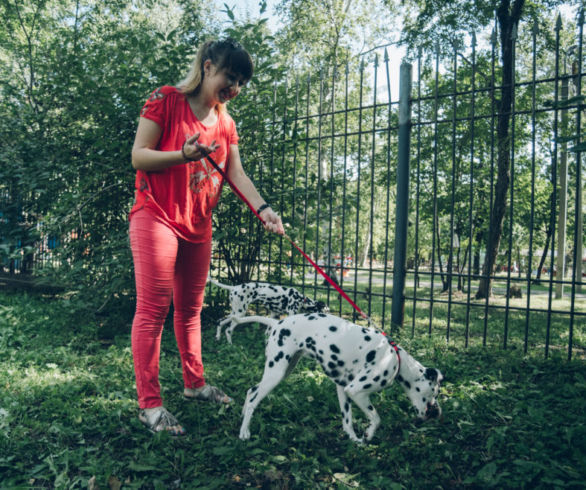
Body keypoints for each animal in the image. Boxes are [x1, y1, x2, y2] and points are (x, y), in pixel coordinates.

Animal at [230, 314, 440, 444]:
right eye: (434, 391)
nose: (437, 413)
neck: (395, 358)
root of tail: (276, 323)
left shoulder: (343, 389)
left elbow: (347, 421)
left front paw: (354, 441)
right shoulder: (356, 391)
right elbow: (376, 418)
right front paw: (368, 435)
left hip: (283, 370)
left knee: (251, 391)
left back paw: (242, 416)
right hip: (276, 373)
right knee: (253, 399)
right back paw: (244, 432)